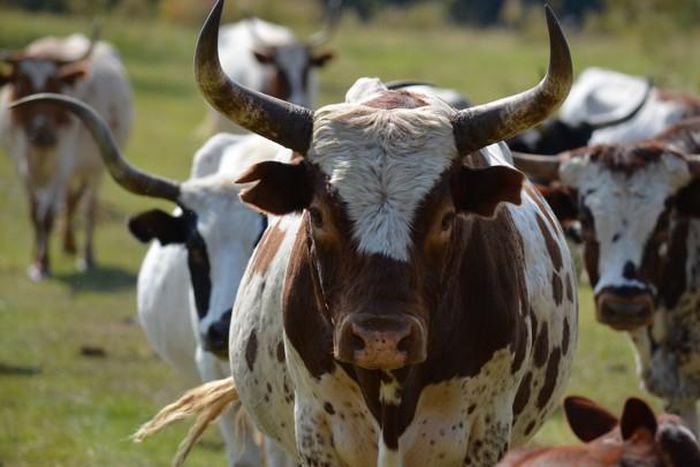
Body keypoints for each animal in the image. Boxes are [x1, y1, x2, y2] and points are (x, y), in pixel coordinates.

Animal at [0, 31, 132, 281]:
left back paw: (85, 256)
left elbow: (48, 215)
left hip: (95, 167)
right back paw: (66, 243)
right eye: (22, 83)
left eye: (55, 85)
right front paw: (35, 259)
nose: (43, 135)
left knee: (88, 207)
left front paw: (43, 264)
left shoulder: (62, 164)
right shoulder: (23, 164)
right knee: (70, 200)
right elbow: (35, 213)